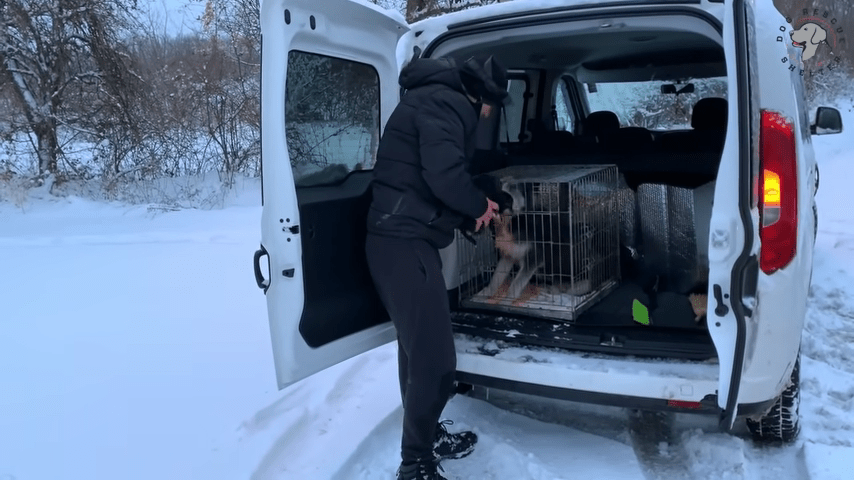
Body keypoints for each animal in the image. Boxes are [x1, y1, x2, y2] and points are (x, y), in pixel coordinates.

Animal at [462, 165, 620, 322]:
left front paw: (507, 301)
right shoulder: (508, 256)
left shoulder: (533, 258)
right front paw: (483, 295)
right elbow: (495, 279)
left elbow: (515, 285)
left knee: (567, 294)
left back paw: (550, 297)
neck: (507, 223)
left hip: (584, 280)